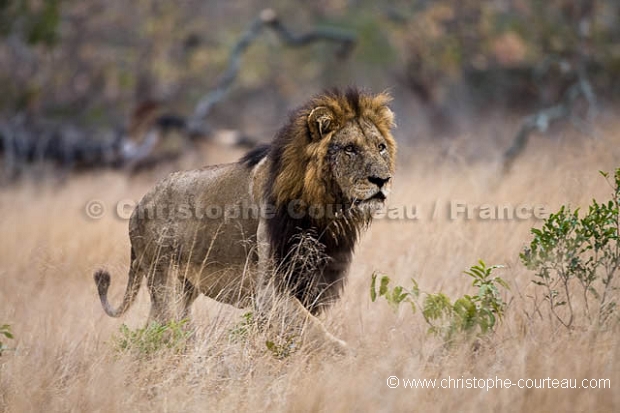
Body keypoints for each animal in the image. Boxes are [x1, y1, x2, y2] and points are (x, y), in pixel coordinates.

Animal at [95, 87, 398, 350]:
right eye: (350, 149)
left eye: (381, 147)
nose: (382, 180)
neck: (326, 210)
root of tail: (138, 207)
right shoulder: (269, 292)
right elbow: (317, 333)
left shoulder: (314, 281)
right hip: (164, 283)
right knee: (162, 332)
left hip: (184, 289)